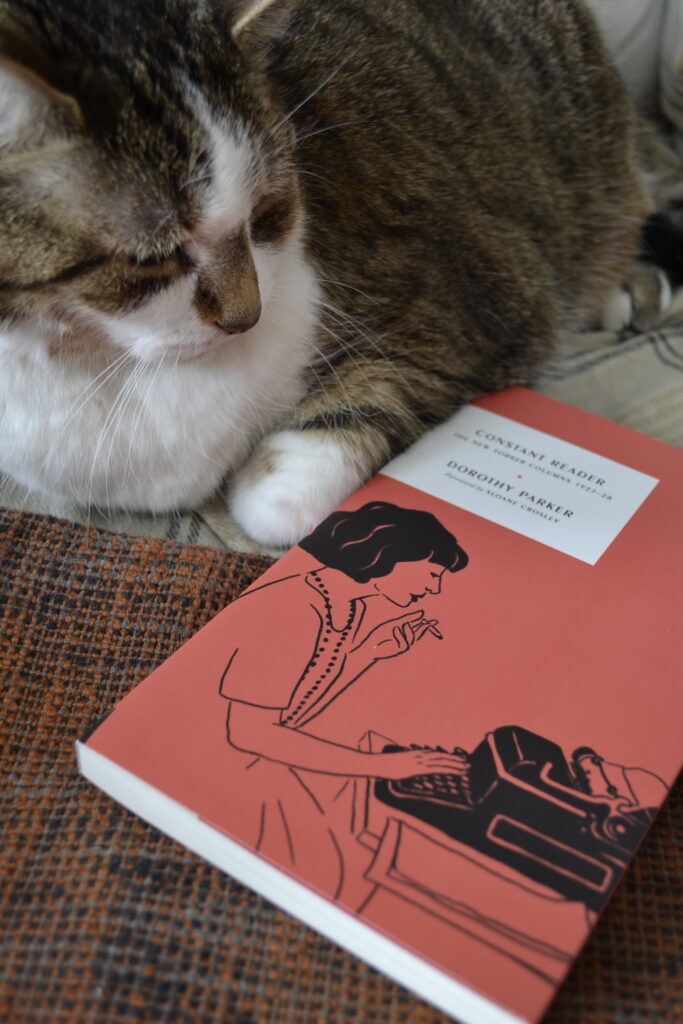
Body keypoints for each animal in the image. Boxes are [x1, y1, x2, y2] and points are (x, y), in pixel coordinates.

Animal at [0, 0, 667, 544]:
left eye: (267, 212)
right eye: (153, 258)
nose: (247, 317)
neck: (103, 364)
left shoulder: (471, 288)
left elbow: (342, 431)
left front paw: (272, 478)